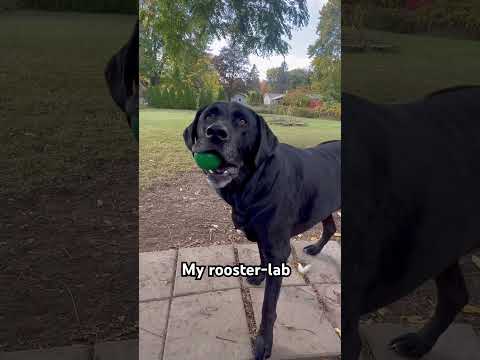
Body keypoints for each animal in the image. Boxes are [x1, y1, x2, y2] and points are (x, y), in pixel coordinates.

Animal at [184, 102, 342, 360]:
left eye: (242, 122)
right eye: (209, 116)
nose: (216, 132)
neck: (252, 183)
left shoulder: (278, 248)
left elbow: (269, 307)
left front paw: (264, 342)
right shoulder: (261, 236)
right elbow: (261, 259)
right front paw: (259, 276)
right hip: (323, 203)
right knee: (330, 227)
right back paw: (316, 249)